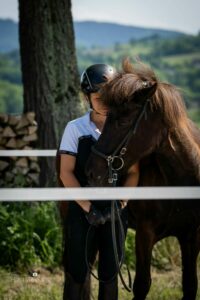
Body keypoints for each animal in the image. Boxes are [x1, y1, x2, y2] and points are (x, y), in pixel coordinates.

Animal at [85, 58, 200, 300]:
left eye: (123, 120)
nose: (90, 171)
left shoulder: (192, 236)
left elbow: (190, 285)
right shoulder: (145, 234)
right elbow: (142, 285)